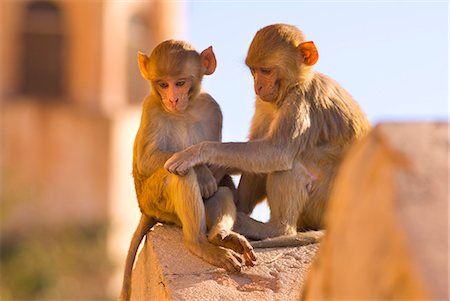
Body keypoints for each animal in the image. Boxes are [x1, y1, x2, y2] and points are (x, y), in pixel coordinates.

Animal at [118, 39, 256, 300]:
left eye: (180, 83)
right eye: (163, 84)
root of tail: (145, 210)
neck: (185, 110)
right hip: (157, 203)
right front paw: (200, 170)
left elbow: (217, 163)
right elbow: (146, 160)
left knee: (222, 190)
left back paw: (220, 236)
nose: (172, 99)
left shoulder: (213, 109)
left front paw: (208, 165)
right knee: (180, 176)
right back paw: (198, 243)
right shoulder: (151, 106)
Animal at [163, 24, 370, 246]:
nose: (258, 86)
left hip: (325, 204)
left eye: (266, 71)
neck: (293, 85)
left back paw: (273, 228)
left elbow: (276, 153)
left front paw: (195, 153)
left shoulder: (301, 101)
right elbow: (256, 146)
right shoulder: (264, 101)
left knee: (290, 163)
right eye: (254, 71)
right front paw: (214, 169)